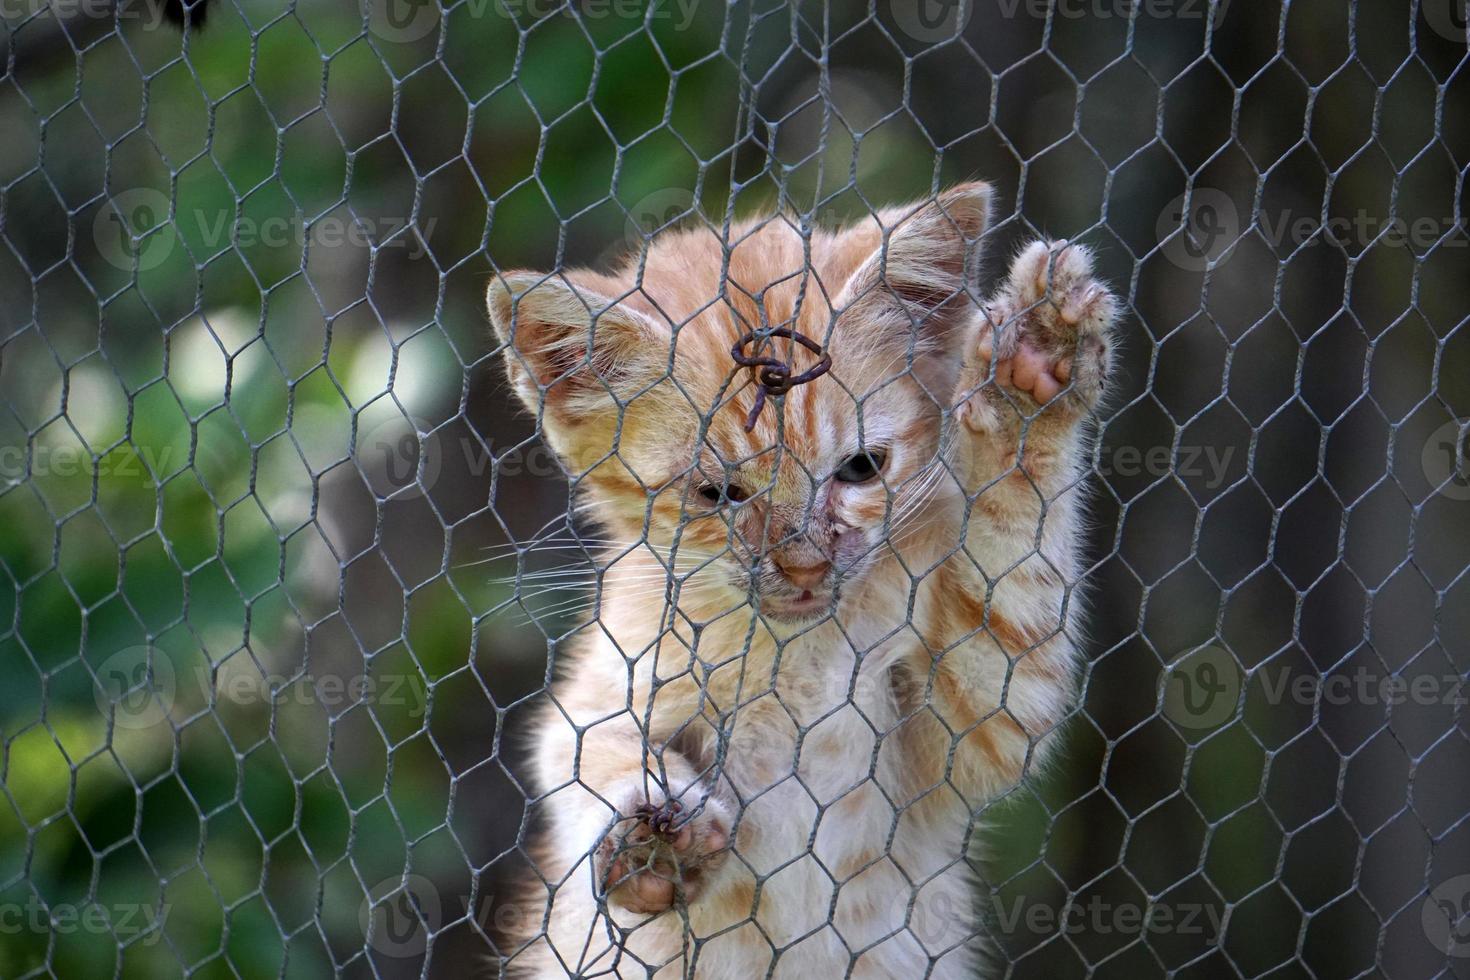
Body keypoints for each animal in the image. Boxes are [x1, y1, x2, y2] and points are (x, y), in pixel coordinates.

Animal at [488, 182, 1117, 975]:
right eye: (718, 495)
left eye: (862, 468)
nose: (805, 562)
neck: (789, 658)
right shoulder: (599, 684)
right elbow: (580, 752)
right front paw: (651, 834)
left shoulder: (972, 726)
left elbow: (1011, 581)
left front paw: (1033, 367)